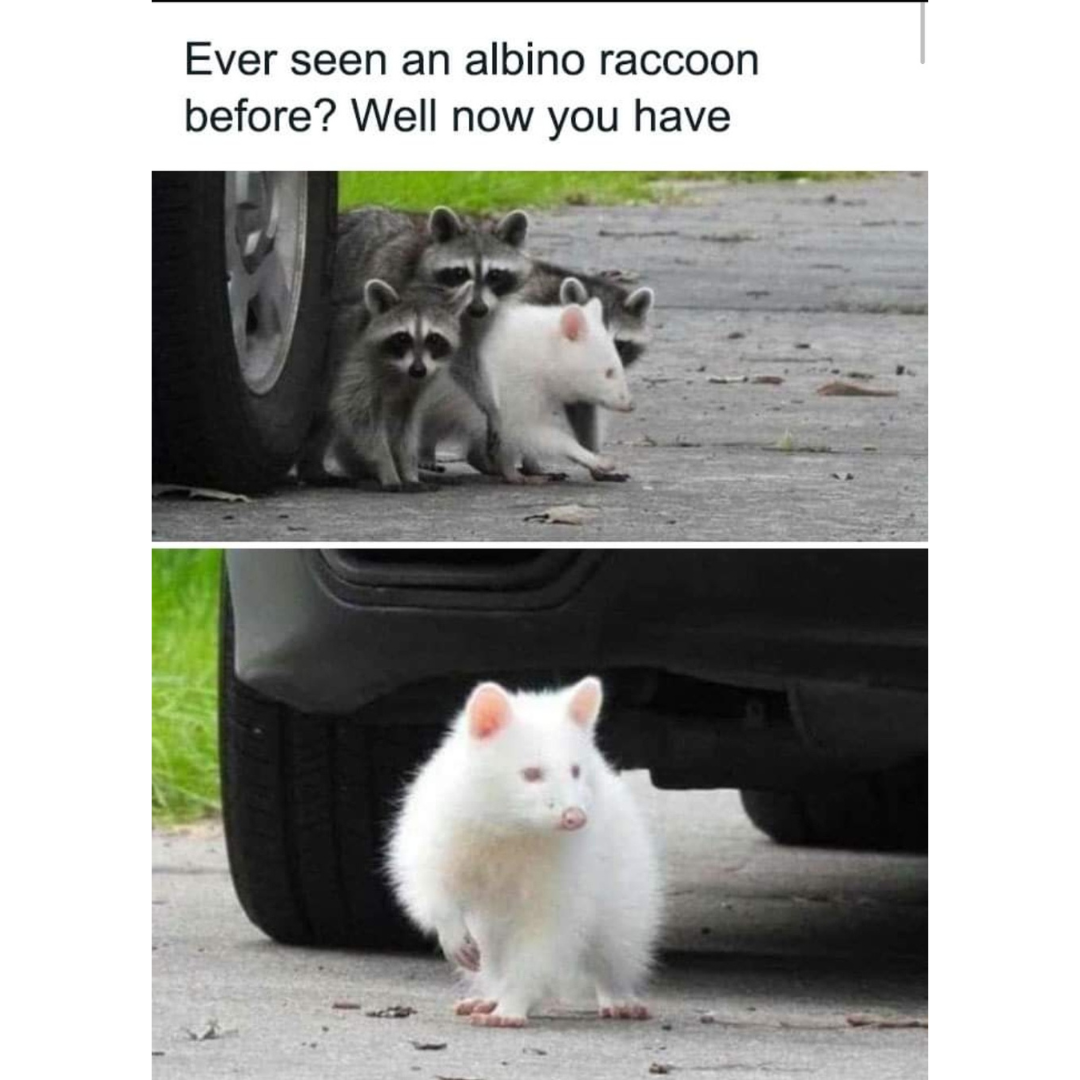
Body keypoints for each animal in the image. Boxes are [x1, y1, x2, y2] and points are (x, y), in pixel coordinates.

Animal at [324, 278, 473, 491]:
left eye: (434, 338)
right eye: (403, 338)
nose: (418, 370)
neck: (400, 370)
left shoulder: (418, 384)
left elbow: (406, 425)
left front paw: (408, 469)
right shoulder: (359, 364)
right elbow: (358, 416)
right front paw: (385, 466)